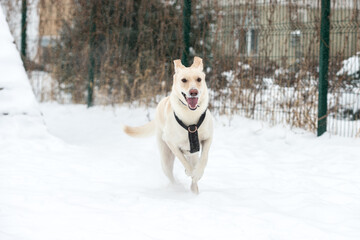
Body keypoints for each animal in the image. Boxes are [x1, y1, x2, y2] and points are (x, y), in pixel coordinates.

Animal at [124, 56, 214, 193]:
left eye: (199, 79)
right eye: (184, 80)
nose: (194, 92)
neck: (190, 116)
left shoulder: (208, 138)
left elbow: (204, 158)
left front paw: (198, 173)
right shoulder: (171, 142)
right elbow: (182, 159)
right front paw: (190, 171)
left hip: (193, 154)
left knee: (194, 171)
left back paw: (194, 191)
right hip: (166, 159)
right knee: (171, 176)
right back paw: (177, 187)